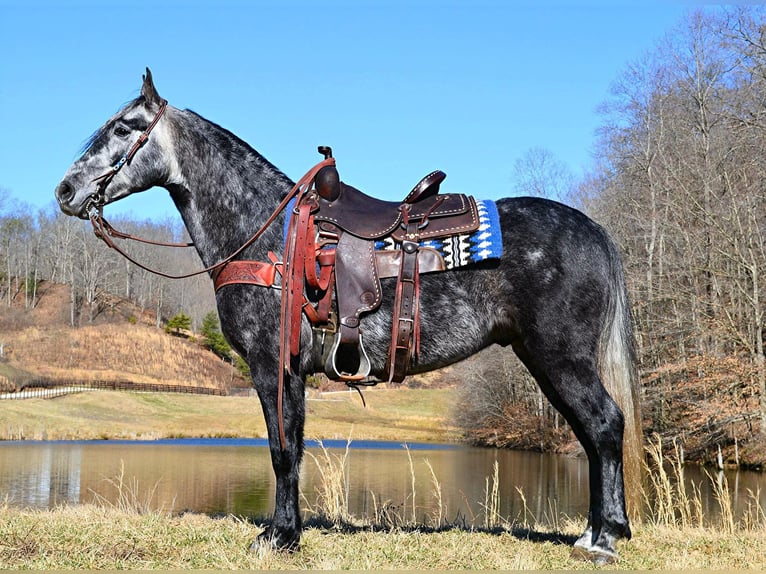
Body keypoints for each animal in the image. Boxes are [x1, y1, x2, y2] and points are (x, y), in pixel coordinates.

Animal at [52, 70, 640, 564]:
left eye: (123, 127)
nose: (65, 191)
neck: (268, 236)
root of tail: (594, 230)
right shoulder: (289, 371)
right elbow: (292, 446)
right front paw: (287, 532)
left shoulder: (272, 366)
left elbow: (282, 450)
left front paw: (277, 537)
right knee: (592, 433)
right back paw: (594, 532)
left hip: (559, 357)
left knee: (604, 426)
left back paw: (604, 538)